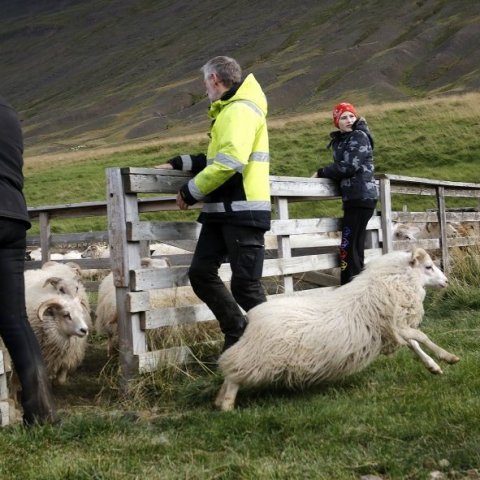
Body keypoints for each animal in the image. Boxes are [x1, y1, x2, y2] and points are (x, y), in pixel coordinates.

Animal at [216, 249, 460, 410]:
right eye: (428, 267)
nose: (447, 281)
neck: (389, 282)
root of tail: (252, 318)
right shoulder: (394, 325)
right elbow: (421, 336)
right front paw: (448, 356)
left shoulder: (393, 328)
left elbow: (415, 343)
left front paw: (434, 366)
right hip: (259, 356)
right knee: (234, 373)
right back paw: (227, 406)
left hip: (255, 353)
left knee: (231, 369)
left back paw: (219, 400)